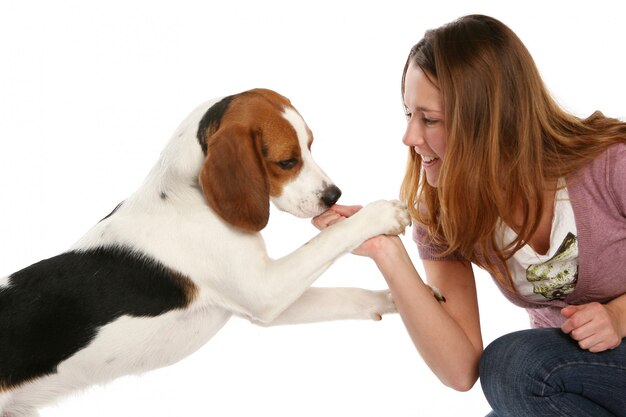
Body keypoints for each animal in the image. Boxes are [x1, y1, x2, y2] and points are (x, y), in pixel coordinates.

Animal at [0, 88, 410, 412]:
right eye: (287, 161)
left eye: (311, 145)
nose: (333, 196)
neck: (191, 195)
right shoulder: (266, 289)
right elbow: (331, 238)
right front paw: (383, 213)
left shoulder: (261, 302)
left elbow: (347, 294)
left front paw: (392, 299)